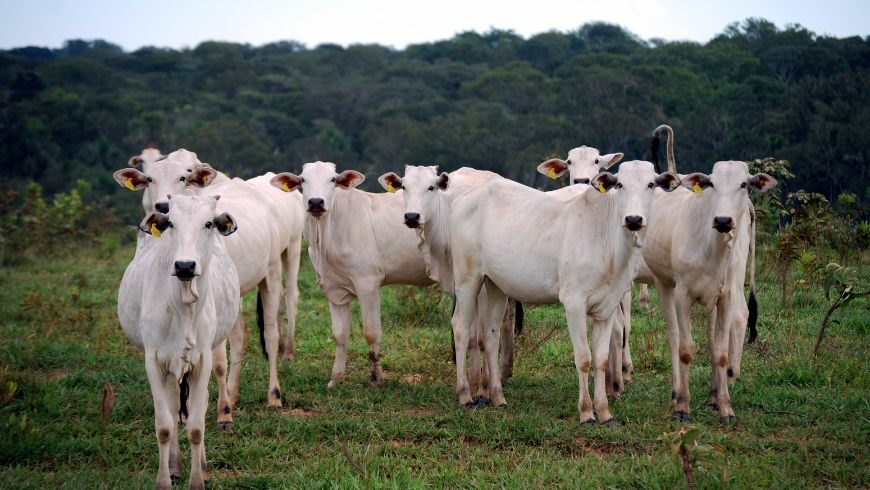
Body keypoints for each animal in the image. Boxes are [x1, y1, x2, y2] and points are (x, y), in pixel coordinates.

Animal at [113, 147, 304, 424]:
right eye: (149, 178)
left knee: (272, 331)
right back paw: (233, 394)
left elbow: (217, 361)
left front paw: (222, 412)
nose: (162, 205)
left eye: (185, 176)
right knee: (239, 337)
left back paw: (274, 395)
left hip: (277, 266)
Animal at [117, 193, 242, 488]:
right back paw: (174, 466)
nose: (185, 265)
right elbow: (164, 425)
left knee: (200, 404)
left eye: (208, 223)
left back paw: (203, 465)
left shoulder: (202, 361)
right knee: (174, 410)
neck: (183, 307)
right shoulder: (154, 362)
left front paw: (197, 480)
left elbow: (196, 426)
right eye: (171, 223)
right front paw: (164, 479)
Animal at [272, 163, 436, 388]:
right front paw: (335, 379)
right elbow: (339, 335)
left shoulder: (368, 284)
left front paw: (376, 378)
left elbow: (371, 333)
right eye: (303, 179)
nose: (316, 202)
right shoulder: (333, 288)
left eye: (332, 179)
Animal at [450, 162, 680, 422]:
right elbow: (584, 358)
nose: (633, 218)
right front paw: (587, 412)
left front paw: (604, 412)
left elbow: (601, 359)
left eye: (651, 184)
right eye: (620, 184)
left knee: (490, 334)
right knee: (461, 328)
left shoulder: (608, 306)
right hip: (468, 278)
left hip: (496, 284)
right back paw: (465, 395)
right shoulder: (574, 303)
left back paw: (498, 397)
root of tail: (464, 198)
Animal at [644, 161, 780, 422]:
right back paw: (677, 392)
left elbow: (720, 352)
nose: (723, 220)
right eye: (713, 184)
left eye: (743, 184)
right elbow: (686, 350)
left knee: (721, 331)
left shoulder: (725, 296)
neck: (710, 247)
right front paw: (683, 407)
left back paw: (714, 396)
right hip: (663, 283)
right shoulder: (682, 295)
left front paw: (725, 407)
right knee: (673, 337)